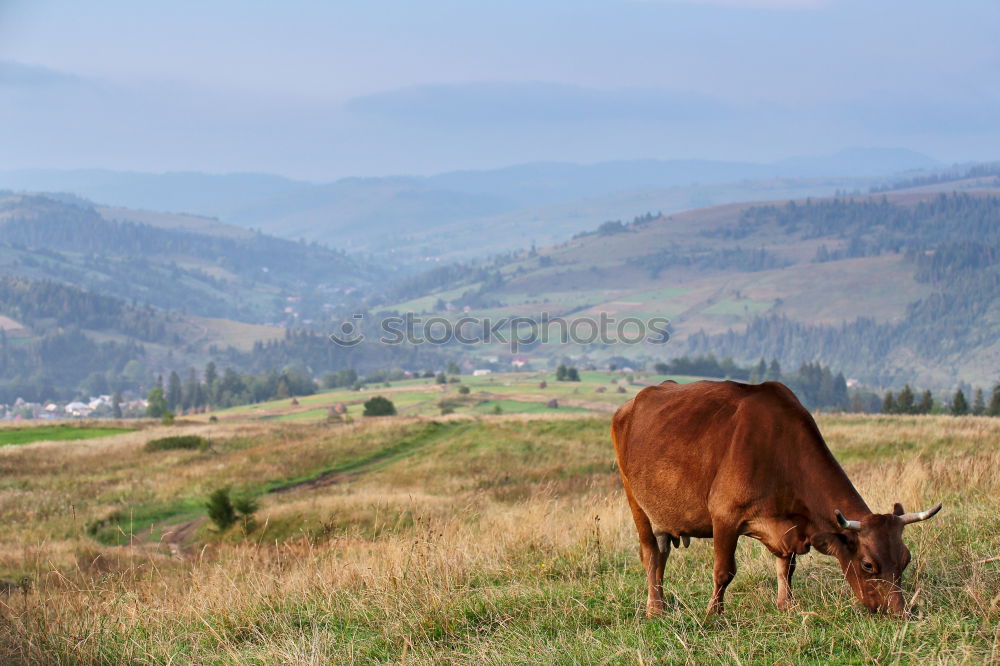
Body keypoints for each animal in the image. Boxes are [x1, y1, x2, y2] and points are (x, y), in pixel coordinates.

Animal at [612, 382, 940, 616]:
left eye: (905, 559)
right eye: (868, 565)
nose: (899, 613)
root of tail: (633, 401)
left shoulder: (791, 525)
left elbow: (786, 567)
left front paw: (787, 605)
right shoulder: (725, 516)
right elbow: (724, 571)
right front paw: (713, 615)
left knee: (663, 553)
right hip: (635, 501)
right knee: (650, 554)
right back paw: (655, 608)